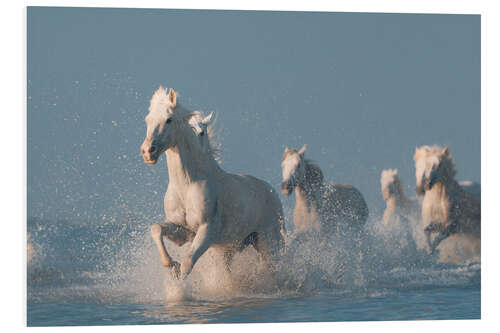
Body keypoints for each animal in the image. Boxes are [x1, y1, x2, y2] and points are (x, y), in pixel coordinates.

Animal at [141, 87, 286, 278]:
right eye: (147, 120)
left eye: (169, 119)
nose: (148, 152)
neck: (187, 185)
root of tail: (272, 191)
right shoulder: (183, 231)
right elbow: (156, 229)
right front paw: (170, 264)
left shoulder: (206, 231)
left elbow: (187, 263)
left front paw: (178, 278)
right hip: (230, 248)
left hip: (269, 241)